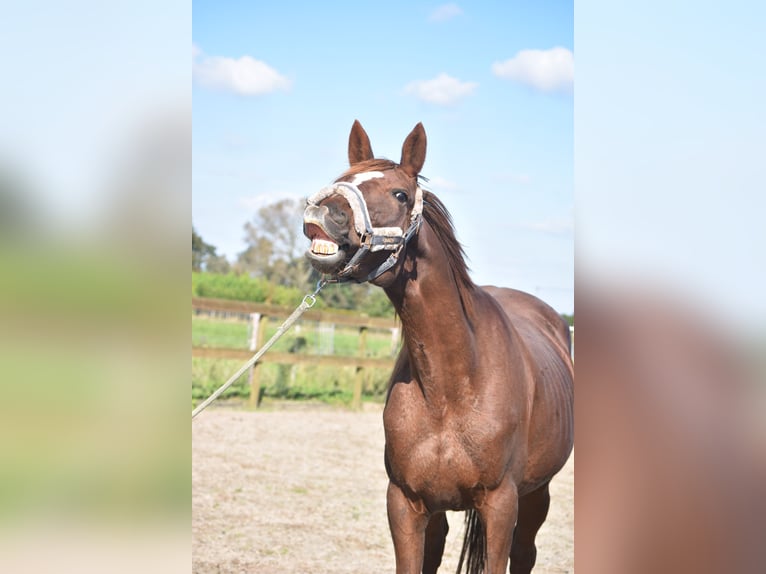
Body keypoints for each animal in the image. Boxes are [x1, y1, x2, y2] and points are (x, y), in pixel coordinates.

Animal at [304, 119, 572, 572]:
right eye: (343, 180)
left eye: (400, 194)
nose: (322, 213)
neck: (452, 386)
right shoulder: (406, 503)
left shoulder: (501, 504)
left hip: (537, 493)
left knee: (526, 552)